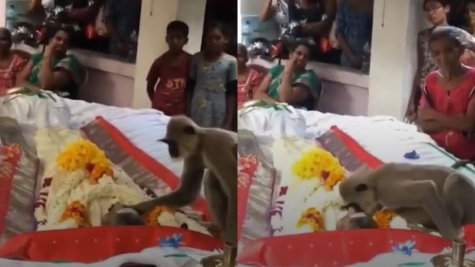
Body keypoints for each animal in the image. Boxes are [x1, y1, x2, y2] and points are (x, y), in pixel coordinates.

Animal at [122, 115, 238, 267]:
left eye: (172, 143)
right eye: (167, 143)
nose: (171, 151)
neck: (201, 141)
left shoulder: (214, 146)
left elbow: (233, 189)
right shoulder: (194, 156)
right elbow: (187, 193)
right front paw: (138, 207)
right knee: (211, 177)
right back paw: (215, 226)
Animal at [340, 163, 475, 243]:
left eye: (356, 205)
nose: (360, 210)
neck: (374, 180)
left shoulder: (387, 191)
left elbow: (426, 189)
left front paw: (452, 236)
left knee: (454, 179)